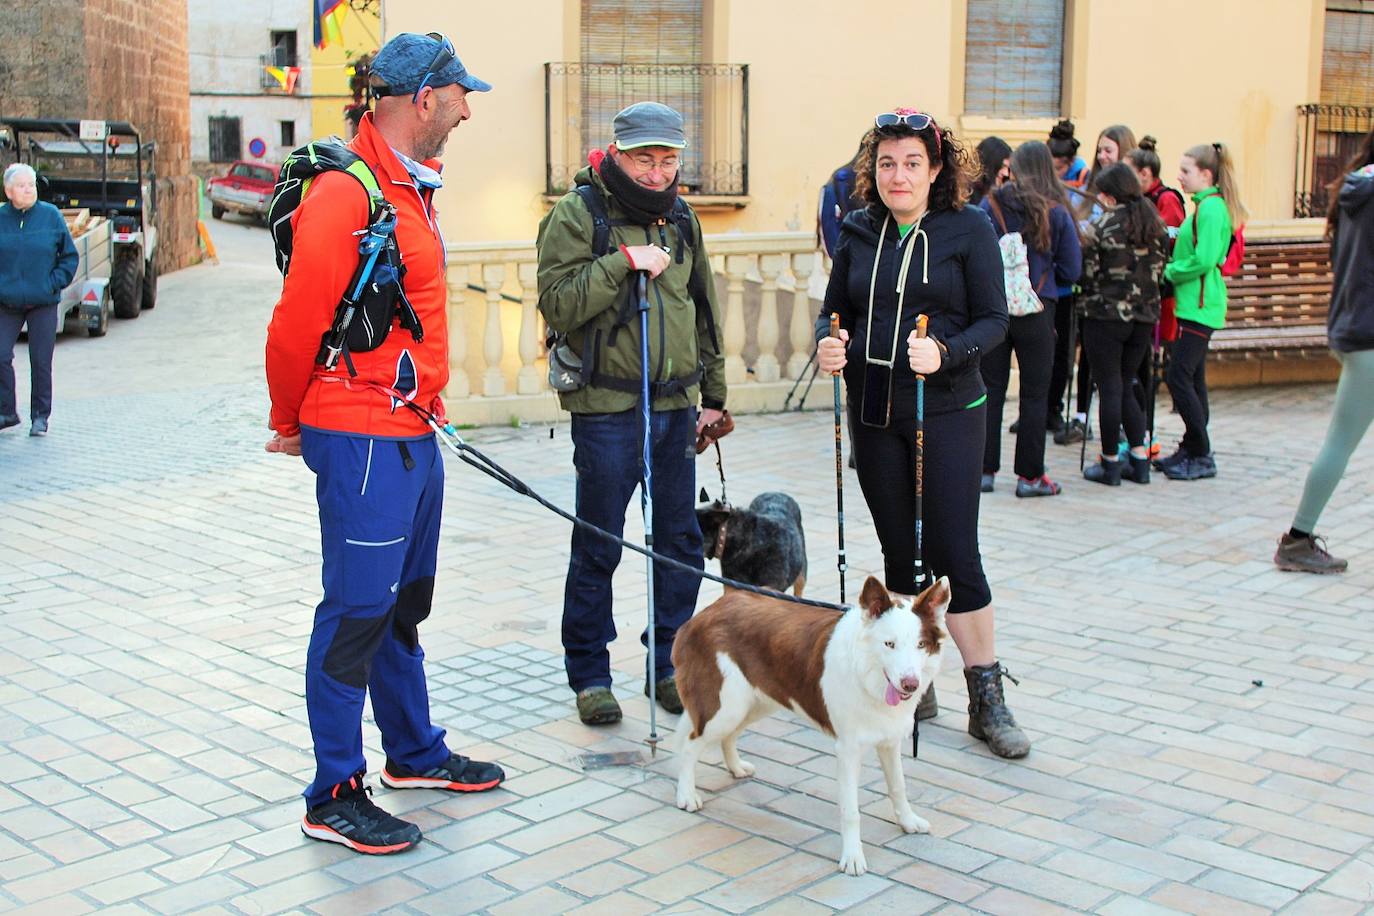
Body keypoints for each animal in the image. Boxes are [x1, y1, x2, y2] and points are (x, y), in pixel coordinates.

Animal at [670, 576, 950, 878]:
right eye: (889, 644)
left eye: (921, 645)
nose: (910, 684)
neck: (866, 674)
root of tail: (710, 610)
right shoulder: (848, 749)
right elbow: (851, 811)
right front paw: (852, 857)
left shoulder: (889, 740)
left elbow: (898, 786)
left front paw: (908, 822)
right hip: (727, 706)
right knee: (690, 744)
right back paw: (686, 794)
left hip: (754, 700)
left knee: (728, 735)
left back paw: (735, 767)